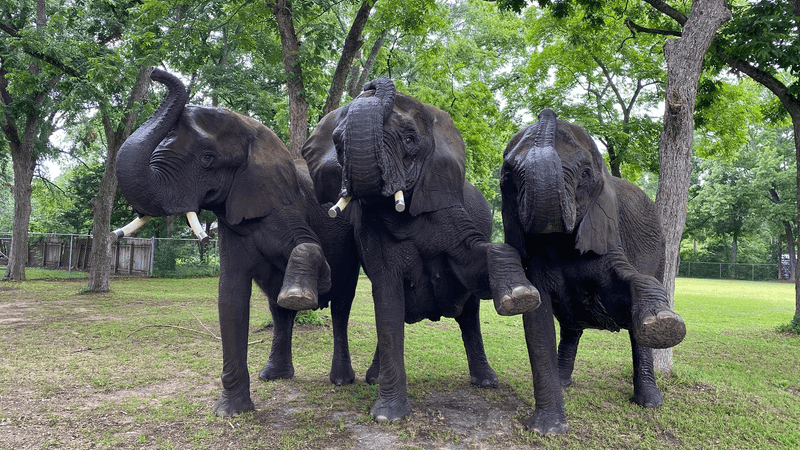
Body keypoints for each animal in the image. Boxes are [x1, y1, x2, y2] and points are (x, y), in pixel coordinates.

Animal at [114, 68, 361, 417]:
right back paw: (273, 375)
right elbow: (230, 295)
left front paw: (307, 290)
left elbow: (309, 248)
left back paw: (340, 380)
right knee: (277, 310)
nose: (156, 72)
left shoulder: (285, 203)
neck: (253, 133)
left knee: (341, 308)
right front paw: (231, 412)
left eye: (207, 158)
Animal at [302, 77, 540, 422]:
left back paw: (486, 382)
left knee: (470, 314)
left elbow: (473, 266)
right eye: (338, 142)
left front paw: (521, 297)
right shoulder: (368, 228)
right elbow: (386, 299)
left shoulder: (447, 206)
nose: (373, 84)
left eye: (410, 139)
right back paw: (374, 377)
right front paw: (388, 417)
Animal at [500, 109, 686, 435]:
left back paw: (649, 402)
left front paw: (664, 324)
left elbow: (628, 286)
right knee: (571, 326)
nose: (547, 112)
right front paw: (547, 430)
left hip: (662, 251)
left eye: (586, 173)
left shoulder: (608, 230)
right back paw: (565, 382)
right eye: (508, 176)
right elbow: (536, 319)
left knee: (636, 332)